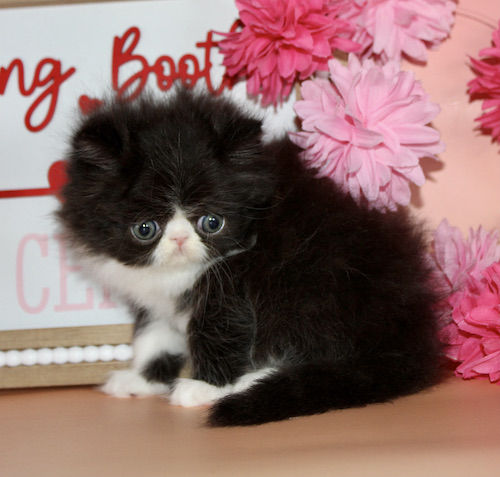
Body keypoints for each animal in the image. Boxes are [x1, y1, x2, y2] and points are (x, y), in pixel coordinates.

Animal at [57, 86, 446, 426]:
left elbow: (220, 333)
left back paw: (252, 383)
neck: (176, 274)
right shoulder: (154, 300)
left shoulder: (231, 285)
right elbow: (153, 338)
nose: (180, 238)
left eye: (212, 222)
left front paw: (204, 387)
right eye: (145, 228)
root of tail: (411, 337)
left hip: (309, 286)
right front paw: (139, 381)